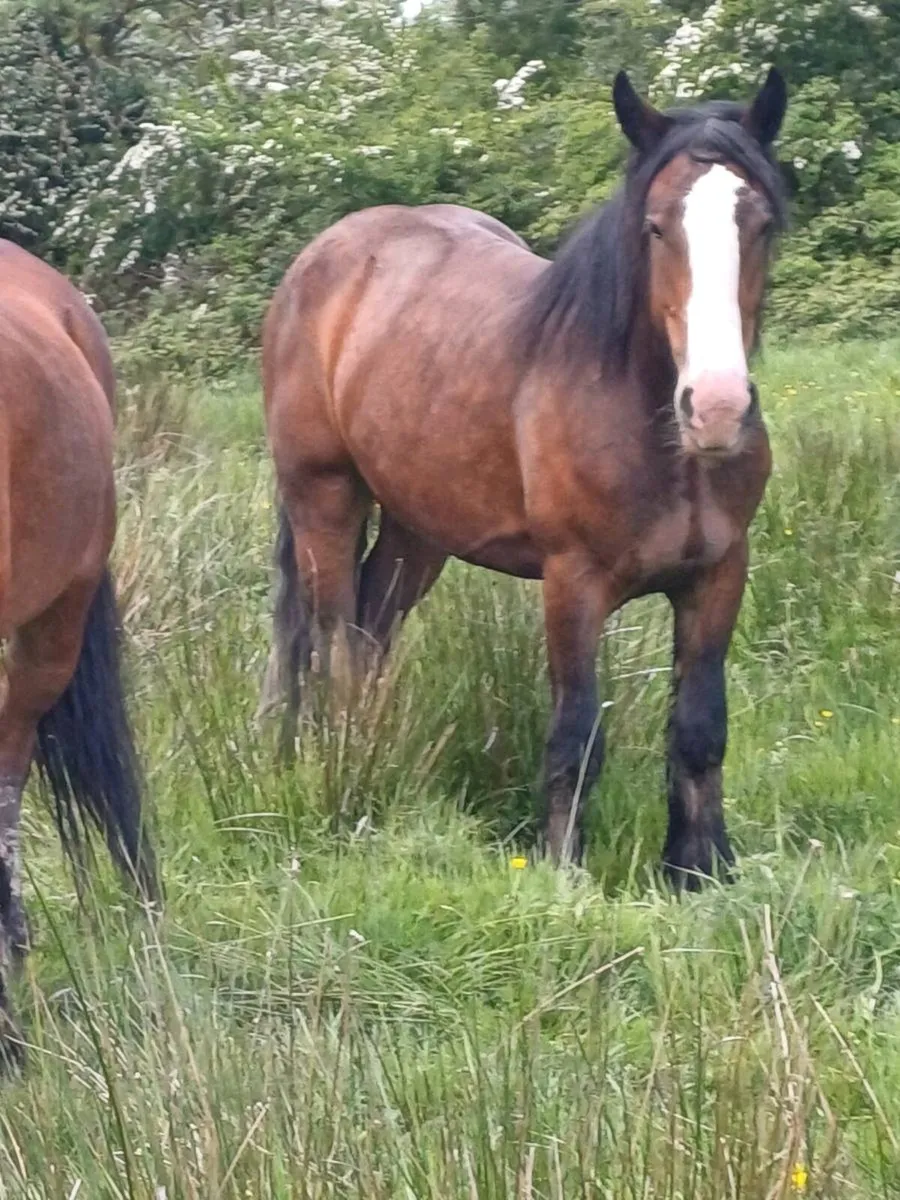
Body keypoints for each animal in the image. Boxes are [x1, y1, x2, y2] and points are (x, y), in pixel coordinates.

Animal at [258, 69, 788, 887]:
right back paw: (347, 767)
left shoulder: (718, 576)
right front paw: (561, 870)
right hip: (324, 499)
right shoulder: (574, 583)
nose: (718, 408)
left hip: (420, 528)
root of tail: (320, 259)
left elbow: (701, 728)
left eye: (758, 223)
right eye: (656, 226)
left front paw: (699, 871)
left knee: (373, 627)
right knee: (335, 640)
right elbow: (576, 732)